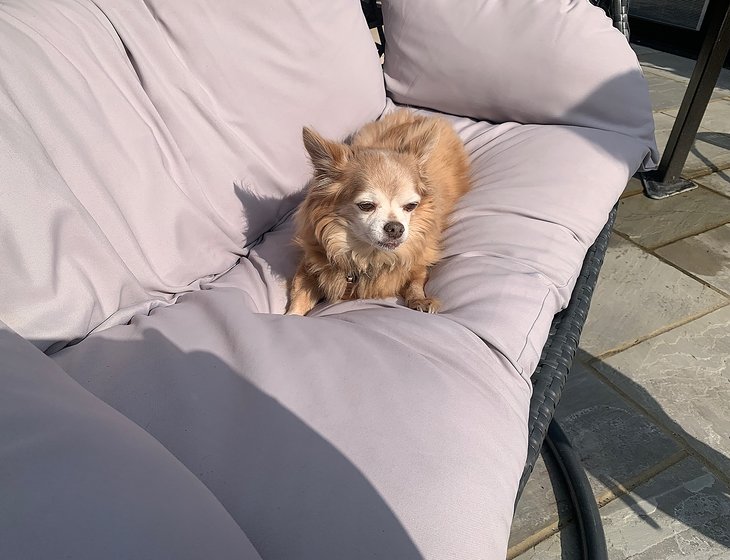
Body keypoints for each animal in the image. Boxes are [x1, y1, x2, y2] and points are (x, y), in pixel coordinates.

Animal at [286, 109, 471, 316]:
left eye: (411, 206)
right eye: (366, 206)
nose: (396, 228)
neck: (366, 257)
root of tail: (415, 115)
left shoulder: (417, 263)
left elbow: (415, 281)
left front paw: (421, 300)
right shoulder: (308, 268)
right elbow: (299, 297)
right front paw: (290, 316)